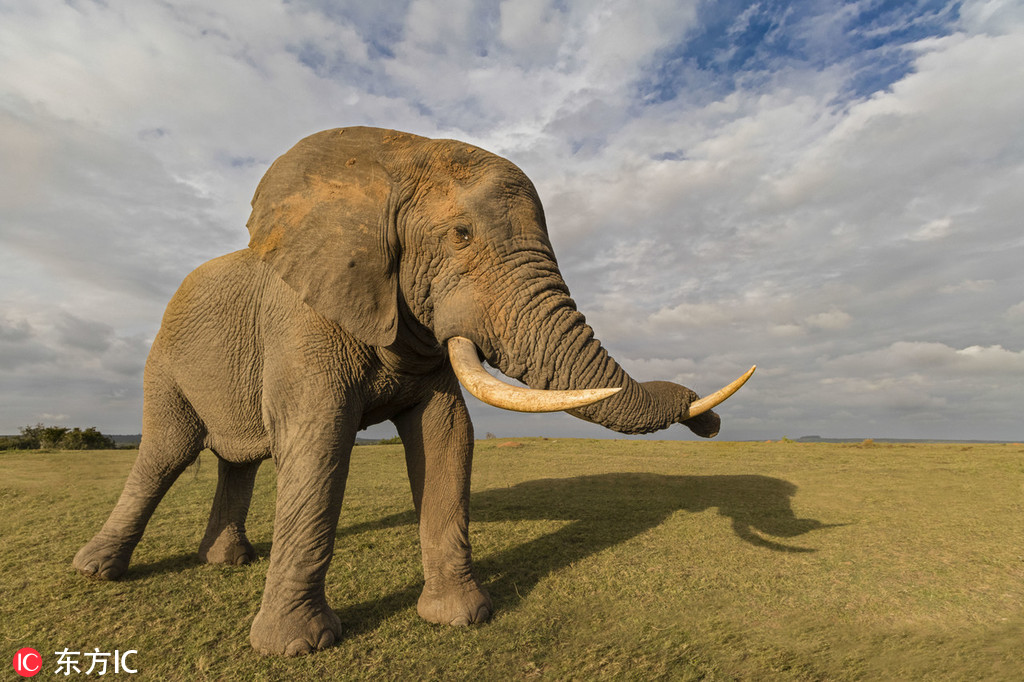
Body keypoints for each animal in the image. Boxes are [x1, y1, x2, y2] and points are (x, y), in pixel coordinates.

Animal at [74, 125, 753, 655]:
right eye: (460, 236)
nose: (709, 422)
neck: (395, 161)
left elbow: (447, 437)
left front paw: (460, 618)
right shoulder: (304, 315)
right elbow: (319, 443)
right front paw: (295, 647)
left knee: (238, 460)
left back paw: (226, 563)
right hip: (164, 363)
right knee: (166, 452)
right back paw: (96, 570)